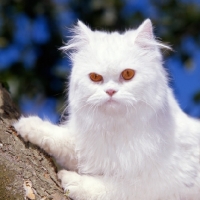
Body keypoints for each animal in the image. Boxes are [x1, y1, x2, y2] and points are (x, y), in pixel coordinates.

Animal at [13, 19, 200, 200]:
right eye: (95, 77)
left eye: (128, 74)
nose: (110, 91)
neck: (115, 130)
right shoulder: (89, 149)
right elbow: (61, 138)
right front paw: (26, 125)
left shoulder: (167, 185)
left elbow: (119, 188)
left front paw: (73, 182)